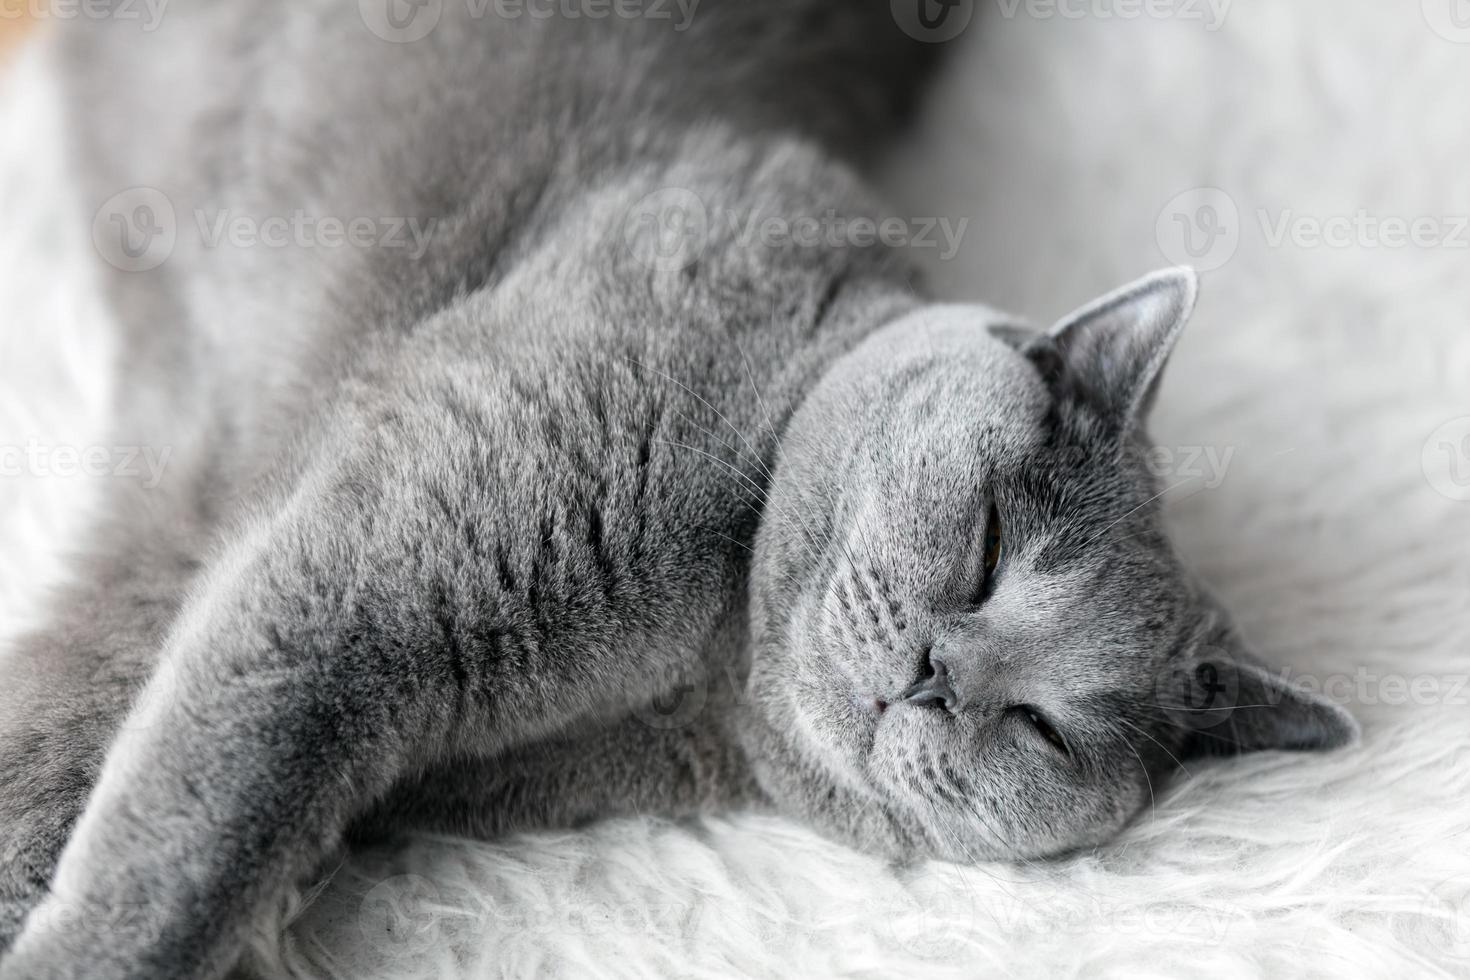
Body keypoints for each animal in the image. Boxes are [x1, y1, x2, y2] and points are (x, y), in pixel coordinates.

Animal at [0, 3, 1352, 975]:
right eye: (987, 542)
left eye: (1044, 729)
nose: (938, 675)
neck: (701, 665)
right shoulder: (359, 581)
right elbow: (194, 842)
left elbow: (189, 794)